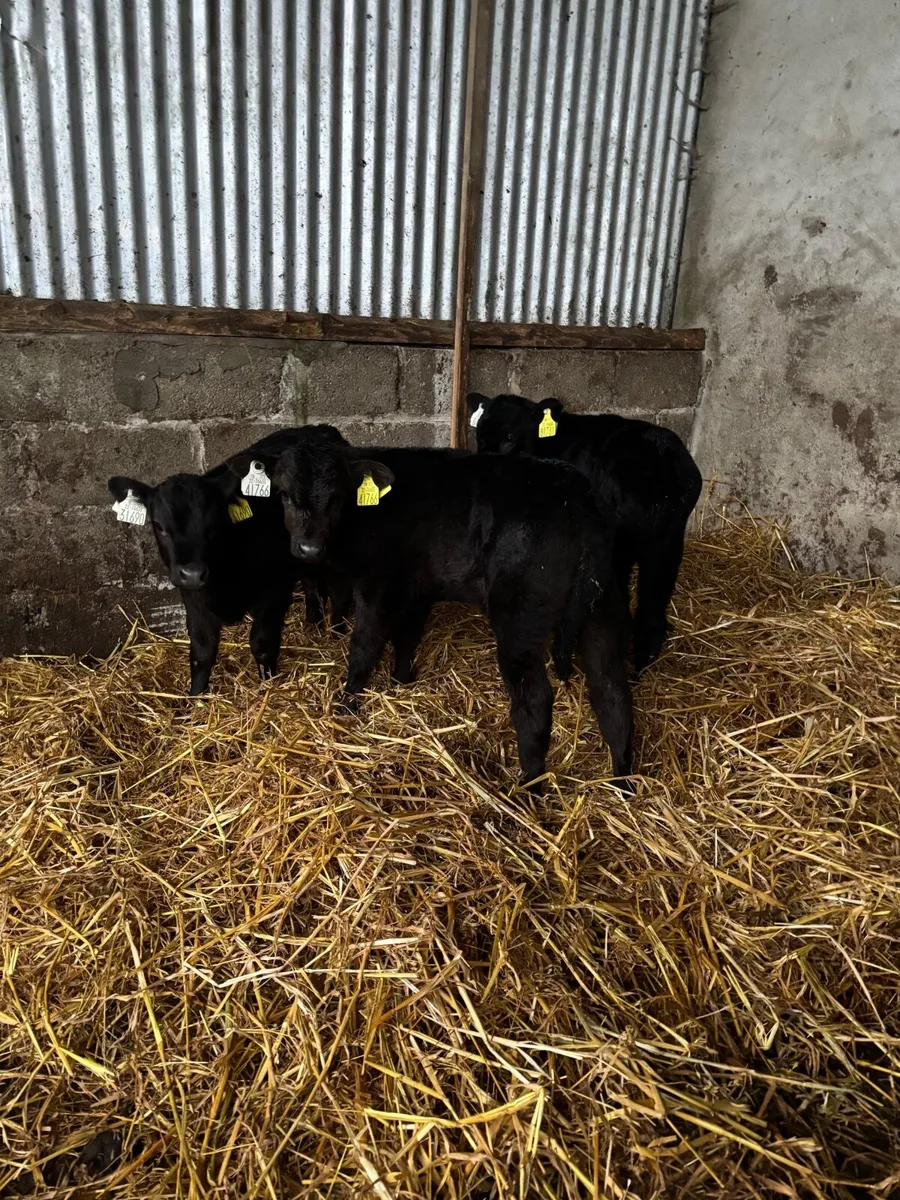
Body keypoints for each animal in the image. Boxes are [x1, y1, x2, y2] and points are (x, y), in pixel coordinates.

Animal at [108, 426, 352, 695]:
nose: (192, 573)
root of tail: (320, 428)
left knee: (339, 592)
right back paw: (313, 623)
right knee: (311, 584)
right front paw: (194, 700)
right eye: (159, 526)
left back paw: (335, 634)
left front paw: (267, 686)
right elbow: (202, 652)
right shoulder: (193, 598)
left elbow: (262, 644)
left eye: (214, 523)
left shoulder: (274, 591)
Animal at [229, 426, 634, 792]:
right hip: (604, 608)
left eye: (339, 496)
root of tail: (578, 497)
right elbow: (407, 636)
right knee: (611, 690)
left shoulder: (378, 583)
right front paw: (401, 681)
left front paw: (347, 704)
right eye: (283, 494)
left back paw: (529, 785)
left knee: (534, 696)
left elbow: (365, 645)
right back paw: (623, 781)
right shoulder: (417, 586)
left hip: (520, 616)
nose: (308, 549)